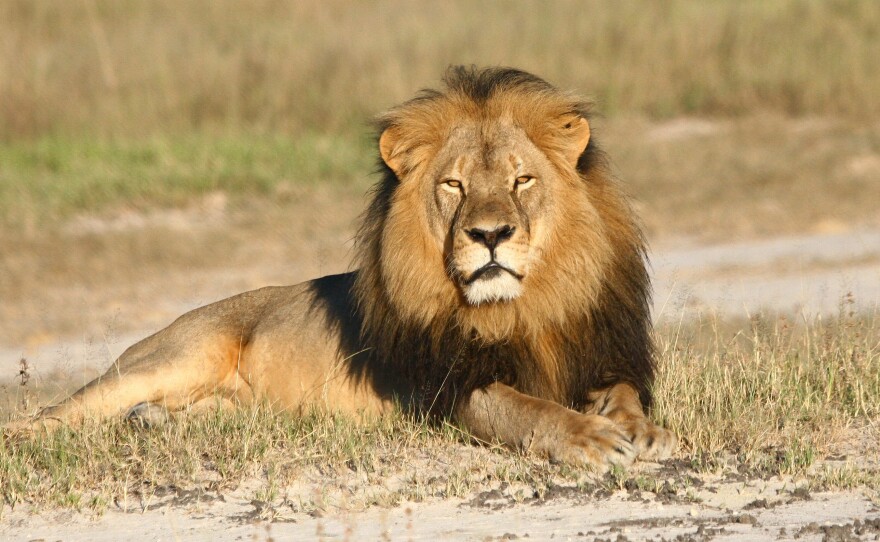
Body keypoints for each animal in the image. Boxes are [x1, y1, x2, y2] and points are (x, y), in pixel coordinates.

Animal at [10, 67, 676, 469]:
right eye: (455, 186)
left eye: (523, 180)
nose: (490, 235)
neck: (523, 308)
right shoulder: (448, 389)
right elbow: (526, 409)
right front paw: (589, 437)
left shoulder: (600, 352)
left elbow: (622, 391)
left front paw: (642, 430)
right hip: (171, 357)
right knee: (55, 413)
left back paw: (153, 424)